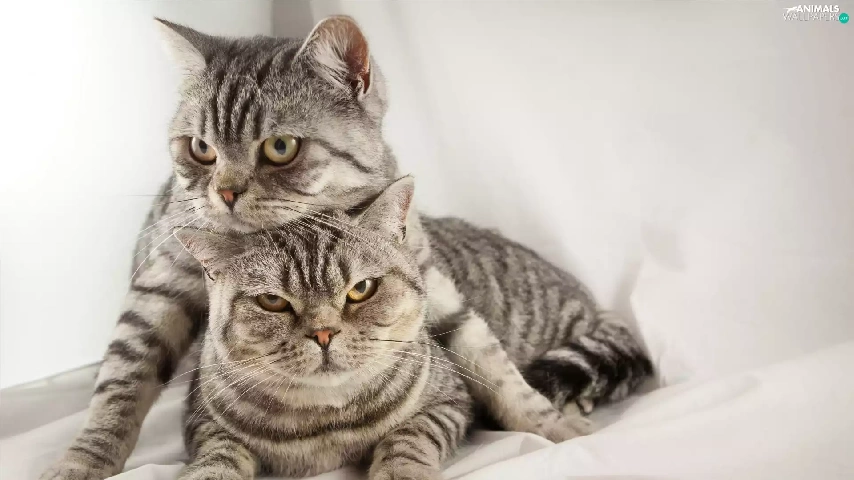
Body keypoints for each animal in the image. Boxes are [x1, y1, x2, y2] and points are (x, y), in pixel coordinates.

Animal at [173, 177, 473, 480]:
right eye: (272, 301)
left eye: (362, 288)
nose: (323, 333)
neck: (326, 424)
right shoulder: (201, 418)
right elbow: (220, 452)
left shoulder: (449, 401)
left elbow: (408, 437)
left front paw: (401, 471)